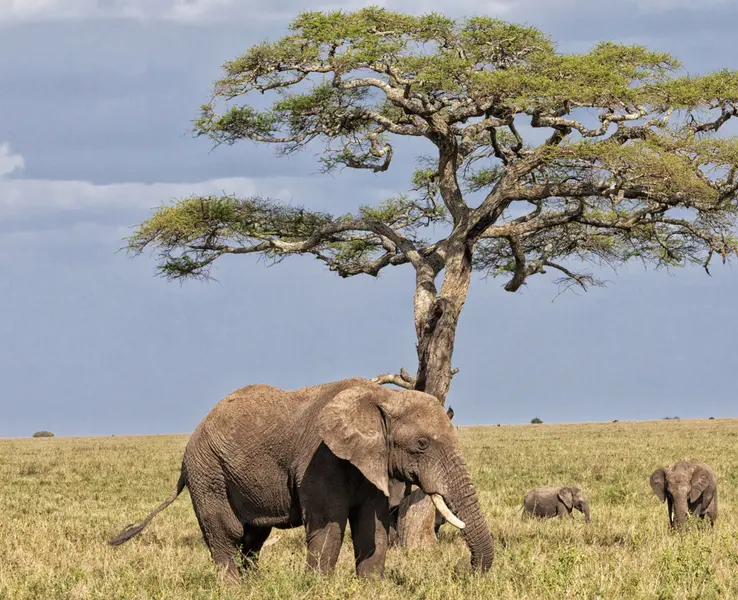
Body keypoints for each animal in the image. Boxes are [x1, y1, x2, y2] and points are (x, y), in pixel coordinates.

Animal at [108, 378, 494, 580]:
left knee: (254, 534)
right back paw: (233, 587)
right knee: (226, 532)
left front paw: (372, 586)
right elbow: (329, 527)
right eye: (422, 444)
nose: (463, 568)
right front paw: (319, 587)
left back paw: (254, 585)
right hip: (207, 471)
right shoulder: (320, 459)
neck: (381, 397)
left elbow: (373, 527)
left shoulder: (373, 462)